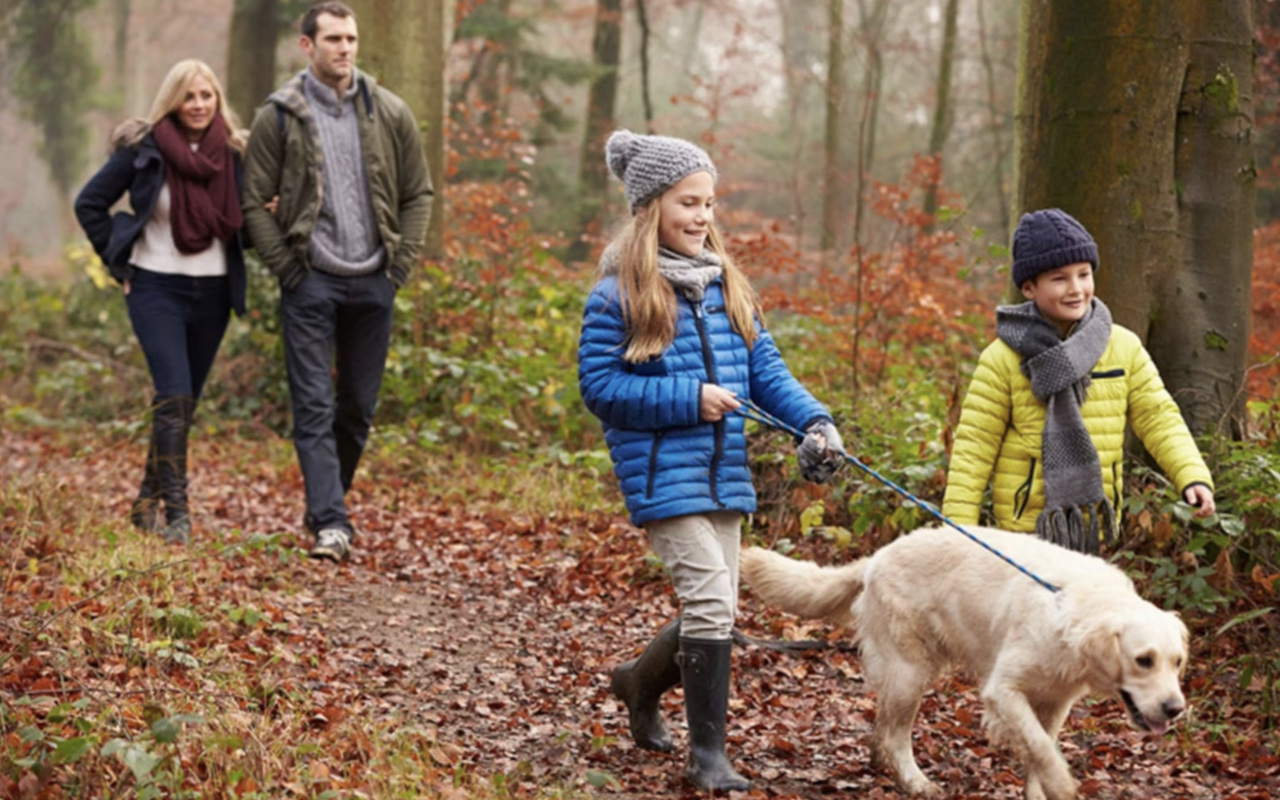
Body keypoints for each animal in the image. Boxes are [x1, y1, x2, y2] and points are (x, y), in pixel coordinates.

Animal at [742, 524, 1187, 798]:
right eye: (1144, 660)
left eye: (1177, 662)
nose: (1176, 709)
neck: (1071, 608)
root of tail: (877, 558)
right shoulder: (1003, 690)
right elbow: (1040, 746)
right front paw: (1061, 784)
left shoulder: (1055, 702)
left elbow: (1039, 749)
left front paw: (1039, 790)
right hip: (911, 671)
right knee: (896, 734)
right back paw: (915, 781)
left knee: (883, 726)